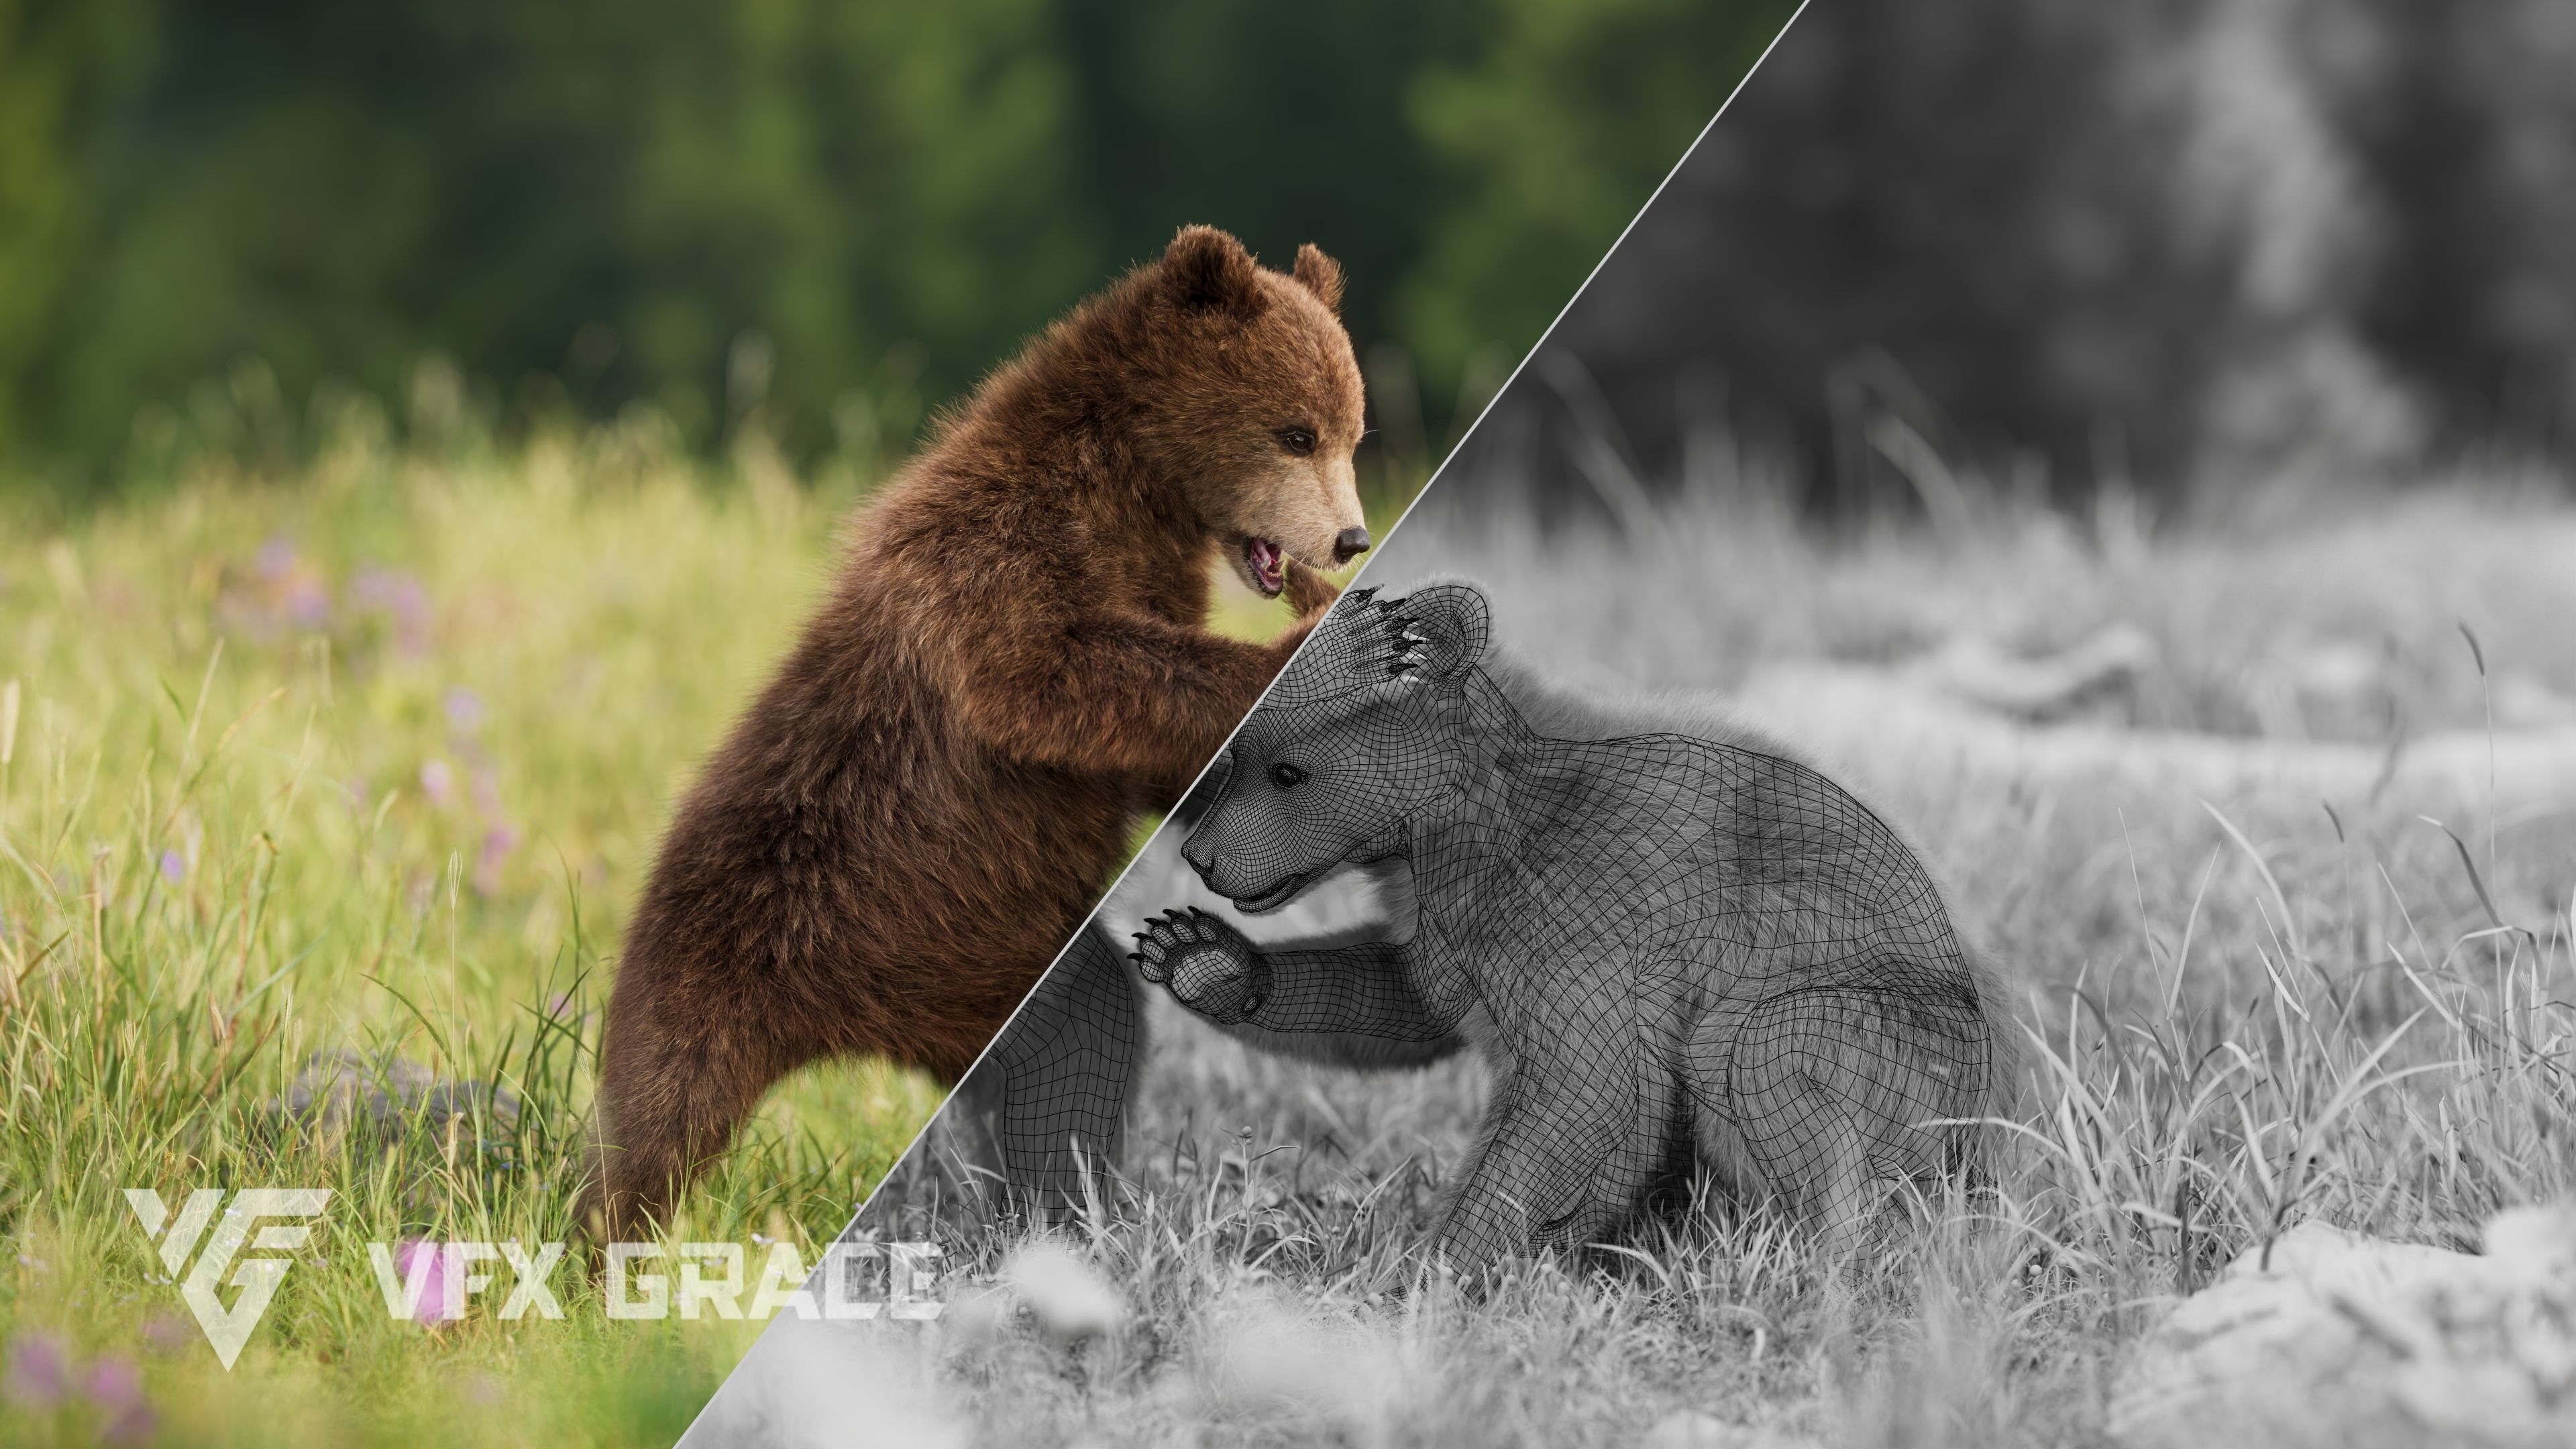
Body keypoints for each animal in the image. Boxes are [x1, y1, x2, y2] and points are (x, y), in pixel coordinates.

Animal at [587, 225, 1371, 1240]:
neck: (1136, 497)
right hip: (744, 945)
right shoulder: (999, 552)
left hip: (987, 959)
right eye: (1295, 432)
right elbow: (1053, 671)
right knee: (651, 1130)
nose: (1351, 540)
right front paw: (1299, 646)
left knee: (1081, 1042)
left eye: (1355, 433)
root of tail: (852, 1028)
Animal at [1128, 581, 2014, 1276]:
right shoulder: (1456, 939)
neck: (1453, 832)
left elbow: (1583, 1089)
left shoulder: (1581, 928)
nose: (1201, 858)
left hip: (1900, 1051)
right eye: (1234, 757)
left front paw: (1421, 1280)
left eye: (1289, 771)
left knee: (1767, 1049)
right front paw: (1201, 959)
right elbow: (1403, 1005)